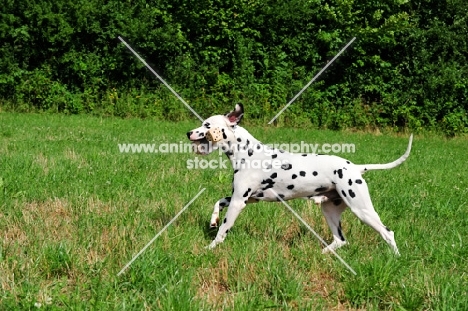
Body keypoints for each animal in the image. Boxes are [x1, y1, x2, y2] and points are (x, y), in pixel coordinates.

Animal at [186, 105, 414, 256]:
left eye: (206, 124)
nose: (188, 132)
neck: (248, 153)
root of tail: (356, 168)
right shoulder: (244, 198)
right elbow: (217, 203)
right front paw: (213, 220)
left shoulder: (238, 203)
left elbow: (223, 230)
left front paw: (210, 247)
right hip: (330, 211)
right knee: (340, 241)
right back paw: (322, 254)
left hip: (362, 210)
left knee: (388, 233)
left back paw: (396, 258)